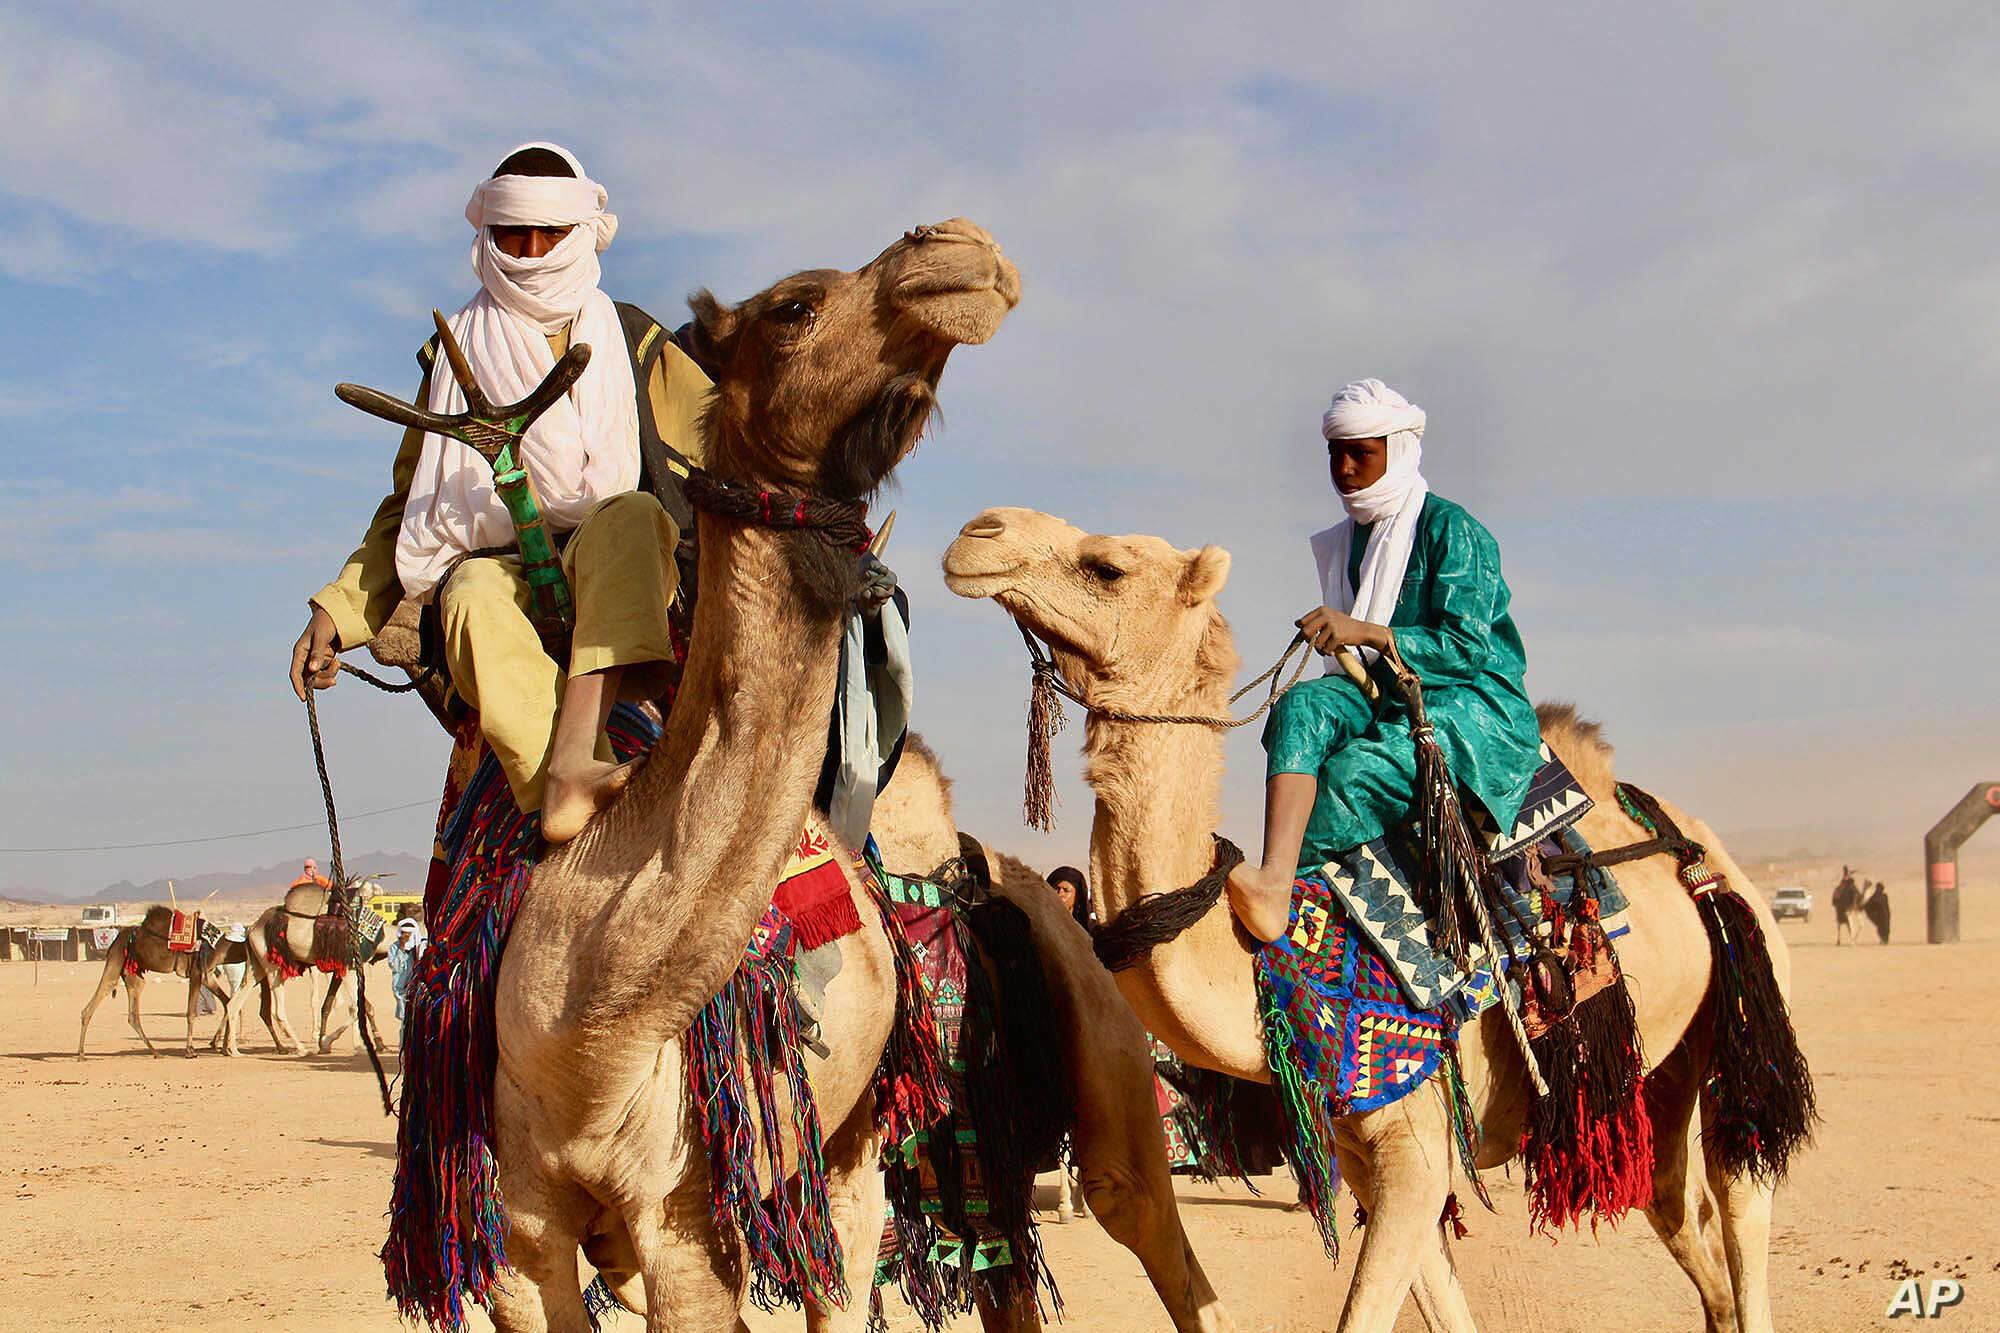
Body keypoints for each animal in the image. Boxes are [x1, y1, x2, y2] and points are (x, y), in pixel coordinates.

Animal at [75, 904, 236, 1056]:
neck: (216, 944)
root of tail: (118, 938)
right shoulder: (196, 972)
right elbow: (191, 1013)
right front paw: (191, 1051)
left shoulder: (207, 975)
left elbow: (227, 1002)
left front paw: (223, 1047)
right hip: (116, 958)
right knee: (104, 989)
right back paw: (81, 1053)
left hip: (134, 975)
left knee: (132, 1014)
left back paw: (155, 1052)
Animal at [944, 508, 1808, 1328]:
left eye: (1108, 566)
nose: (977, 532)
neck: (1274, 959)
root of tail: (1697, 844)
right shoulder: (1371, 1155)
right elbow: (1443, 1305)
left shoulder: (1416, 1142)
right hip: (1658, 1063)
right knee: (1670, 1194)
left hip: (1746, 983)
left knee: (1739, 1189)